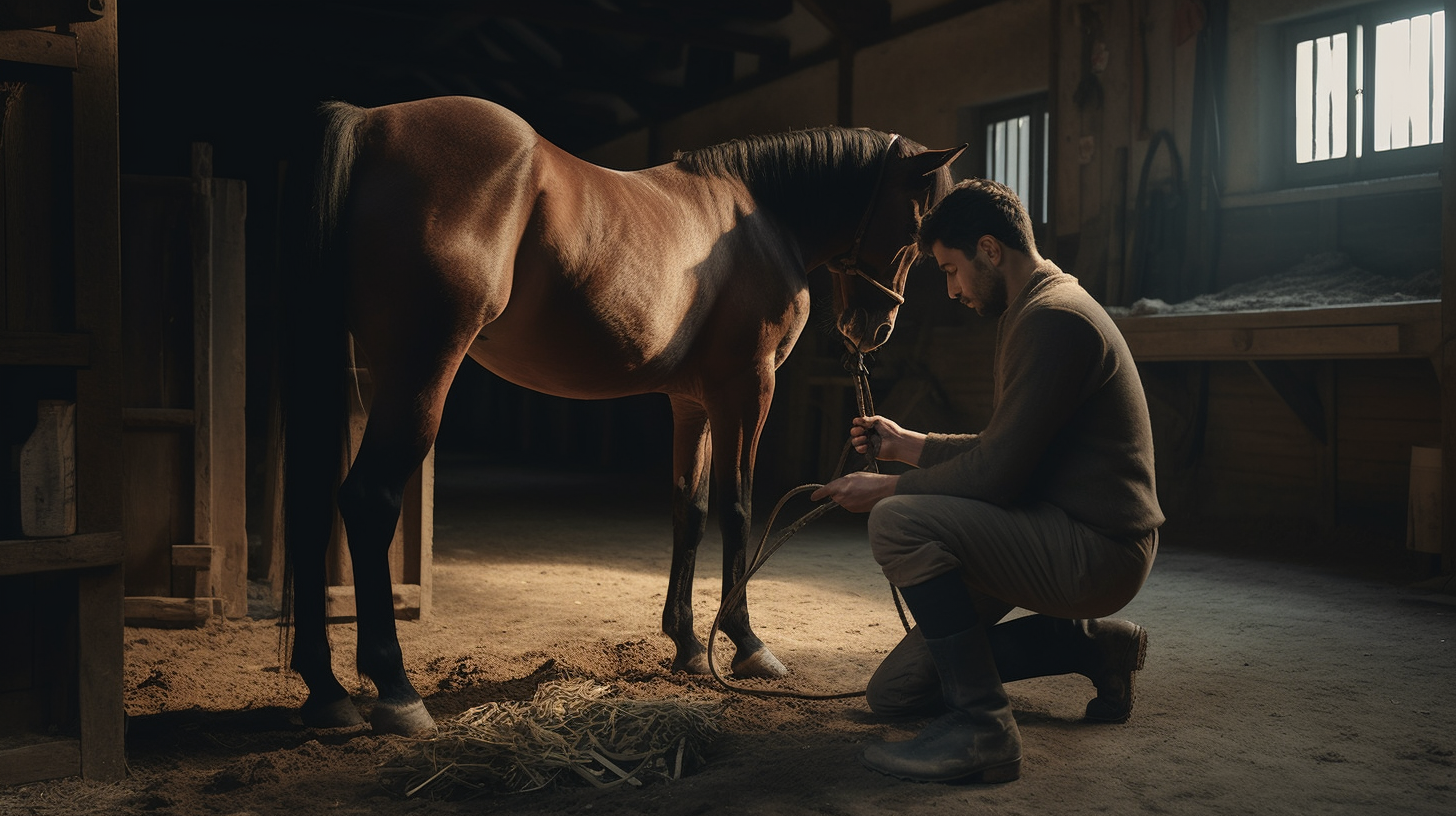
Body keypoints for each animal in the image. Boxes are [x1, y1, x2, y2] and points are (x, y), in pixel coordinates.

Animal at [283, 95, 966, 734]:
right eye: (916, 220)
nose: (874, 329)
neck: (761, 220)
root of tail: (372, 122)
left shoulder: (692, 403)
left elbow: (690, 511)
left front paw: (687, 645)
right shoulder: (748, 388)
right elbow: (739, 508)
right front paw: (747, 645)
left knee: (314, 505)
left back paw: (327, 692)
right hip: (420, 373)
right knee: (368, 500)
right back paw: (396, 691)